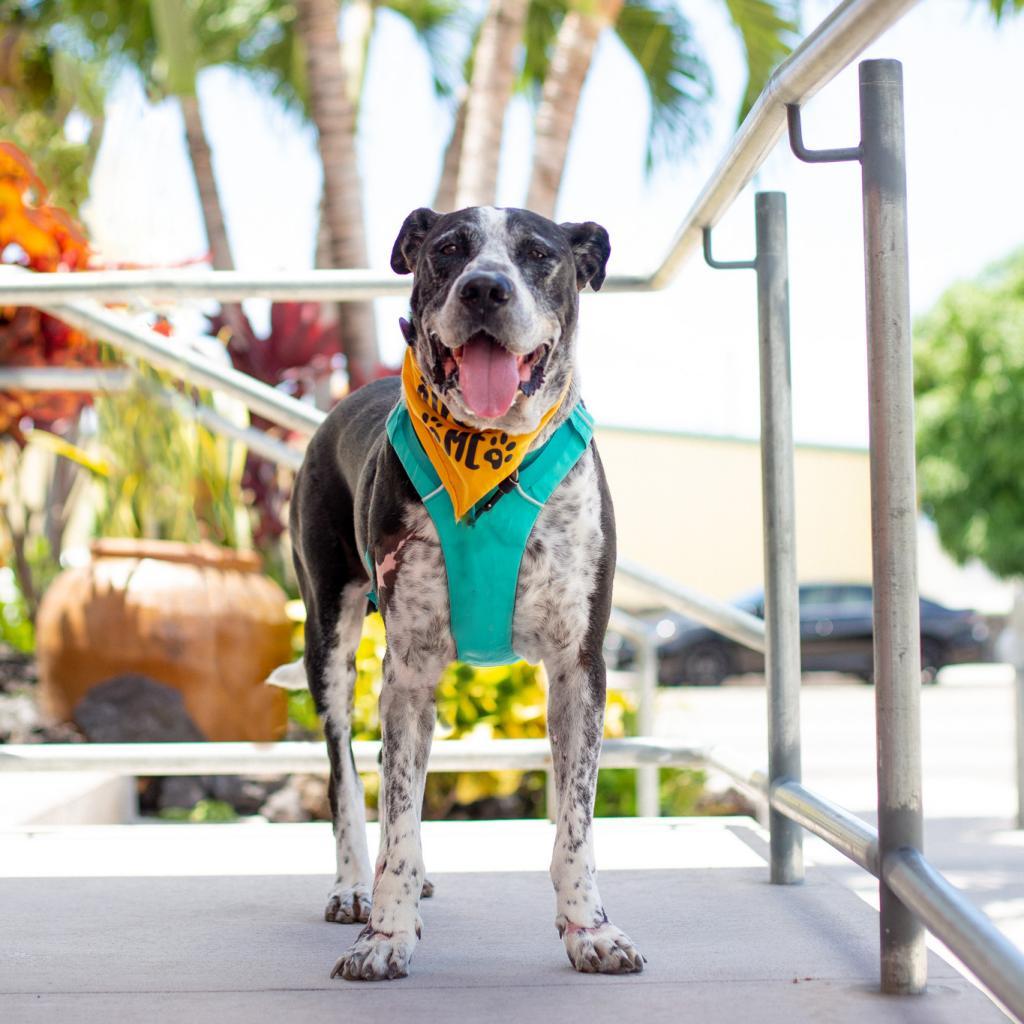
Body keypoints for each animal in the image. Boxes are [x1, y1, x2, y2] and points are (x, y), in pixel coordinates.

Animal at [284, 203, 643, 978]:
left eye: (539, 254)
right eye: (448, 249)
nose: (484, 289)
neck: (489, 455)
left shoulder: (580, 669)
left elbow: (575, 822)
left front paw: (589, 929)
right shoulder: (409, 669)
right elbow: (392, 805)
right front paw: (386, 933)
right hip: (329, 637)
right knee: (346, 774)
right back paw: (357, 885)